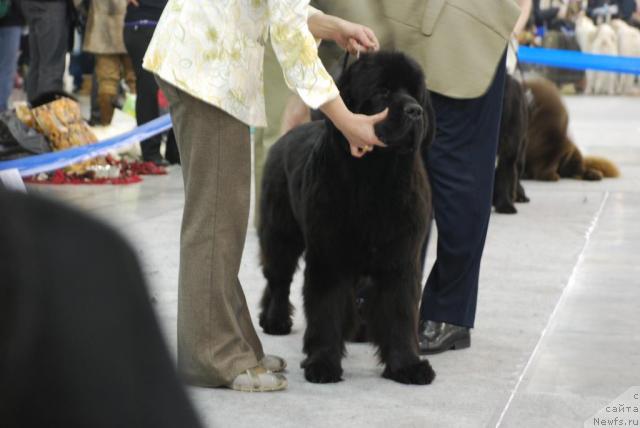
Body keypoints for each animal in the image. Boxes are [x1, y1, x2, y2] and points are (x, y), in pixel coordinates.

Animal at [258, 51, 436, 386]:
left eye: (415, 93)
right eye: (383, 92)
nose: (415, 111)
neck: (375, 177)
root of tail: (286, 136)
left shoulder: (400, 259)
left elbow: (400, 312)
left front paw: (407, 365)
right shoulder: (329, 256)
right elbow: (326, 309)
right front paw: (323, 363)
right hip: (280, 233)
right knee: (278, 279)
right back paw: (275, 320)